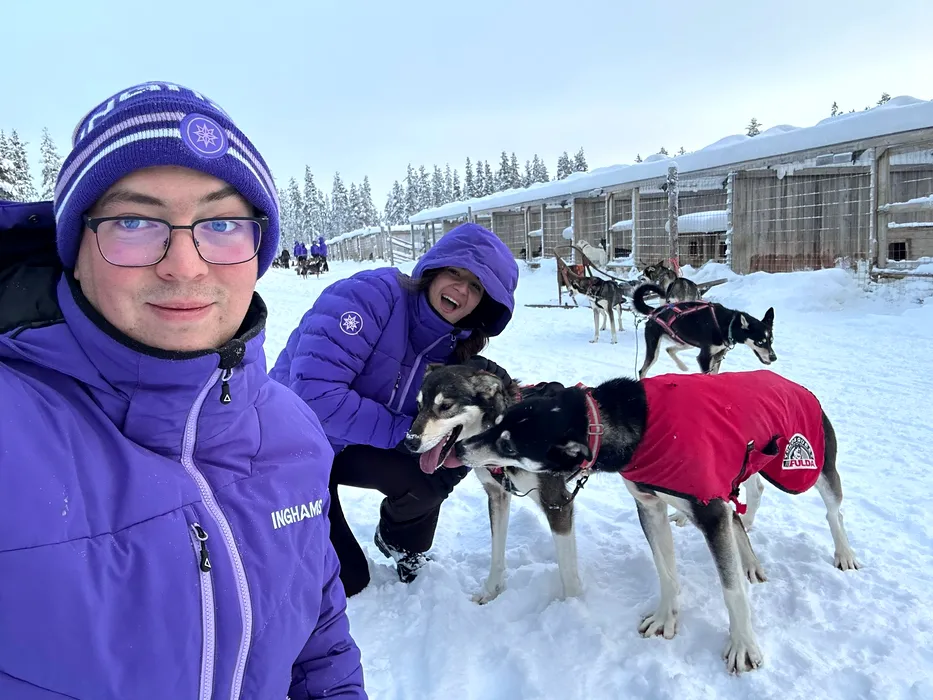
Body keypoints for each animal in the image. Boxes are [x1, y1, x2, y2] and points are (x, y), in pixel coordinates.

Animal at [402, 364, 584, 604]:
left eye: (446, 406)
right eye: (419, 405)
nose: (410, 442)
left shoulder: (557, 503)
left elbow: (568, 572)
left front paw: (573, 605)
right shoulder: (497, 495)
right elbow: (497, 551)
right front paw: (491, 591)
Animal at [454, 370, 860, 676]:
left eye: (509, 446)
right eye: (497, 424)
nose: (460, 448)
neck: (631, 426)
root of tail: (791, 382)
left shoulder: (710, 514)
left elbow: (731, 591)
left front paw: (743, 645)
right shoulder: (649, 506)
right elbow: (666, 571)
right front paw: (667, 618)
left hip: (809, 467)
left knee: (833, 510)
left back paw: (844, 553)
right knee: (748, 501)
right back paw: (750, 555)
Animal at [628, 284, 776, 380]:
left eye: (771, 341)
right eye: (760, 342)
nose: (773, 357)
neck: (726, 324)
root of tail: (655, 311)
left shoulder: (718, 355)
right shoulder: (704, 358)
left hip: (686, 343)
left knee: (669, 349)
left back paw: (683, 367)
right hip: (654, 349)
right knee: (642, 371)